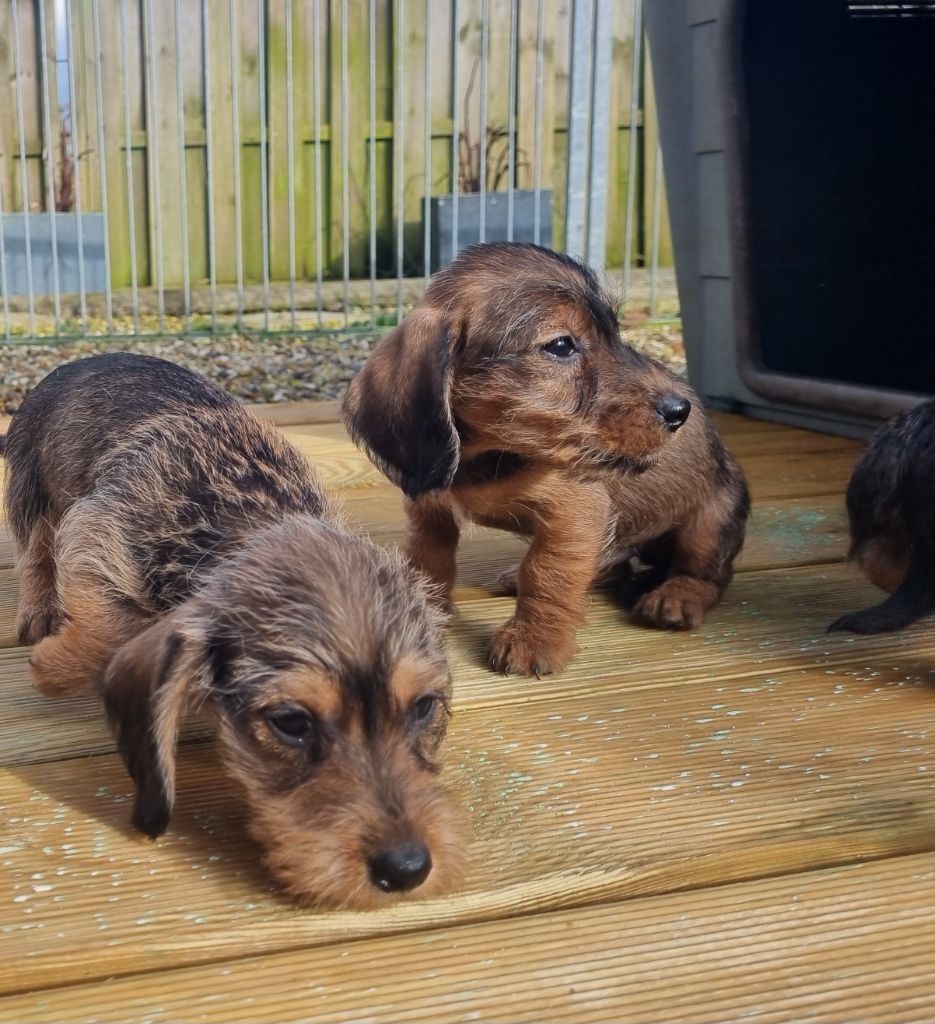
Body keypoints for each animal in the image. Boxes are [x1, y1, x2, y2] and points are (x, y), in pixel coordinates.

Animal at [3, 352, 462, 905]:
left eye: (424, 707)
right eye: (291, 722)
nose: (407, 869)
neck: (251, 515)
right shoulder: (93, 531)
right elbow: (115, 627)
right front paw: (52, 666)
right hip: (32, 492)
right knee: (34, 553)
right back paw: (37, 615)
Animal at [340, 245, 749, 679]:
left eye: (615, 334)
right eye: (561, 345)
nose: (679, 410)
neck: (492, 454)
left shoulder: (574, 515)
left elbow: (546, 573)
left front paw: (534, 639)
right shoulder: (428, 513)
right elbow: (429, 562)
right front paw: (422, 611)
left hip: (708, 525)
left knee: (707, 572)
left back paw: (676, 595)